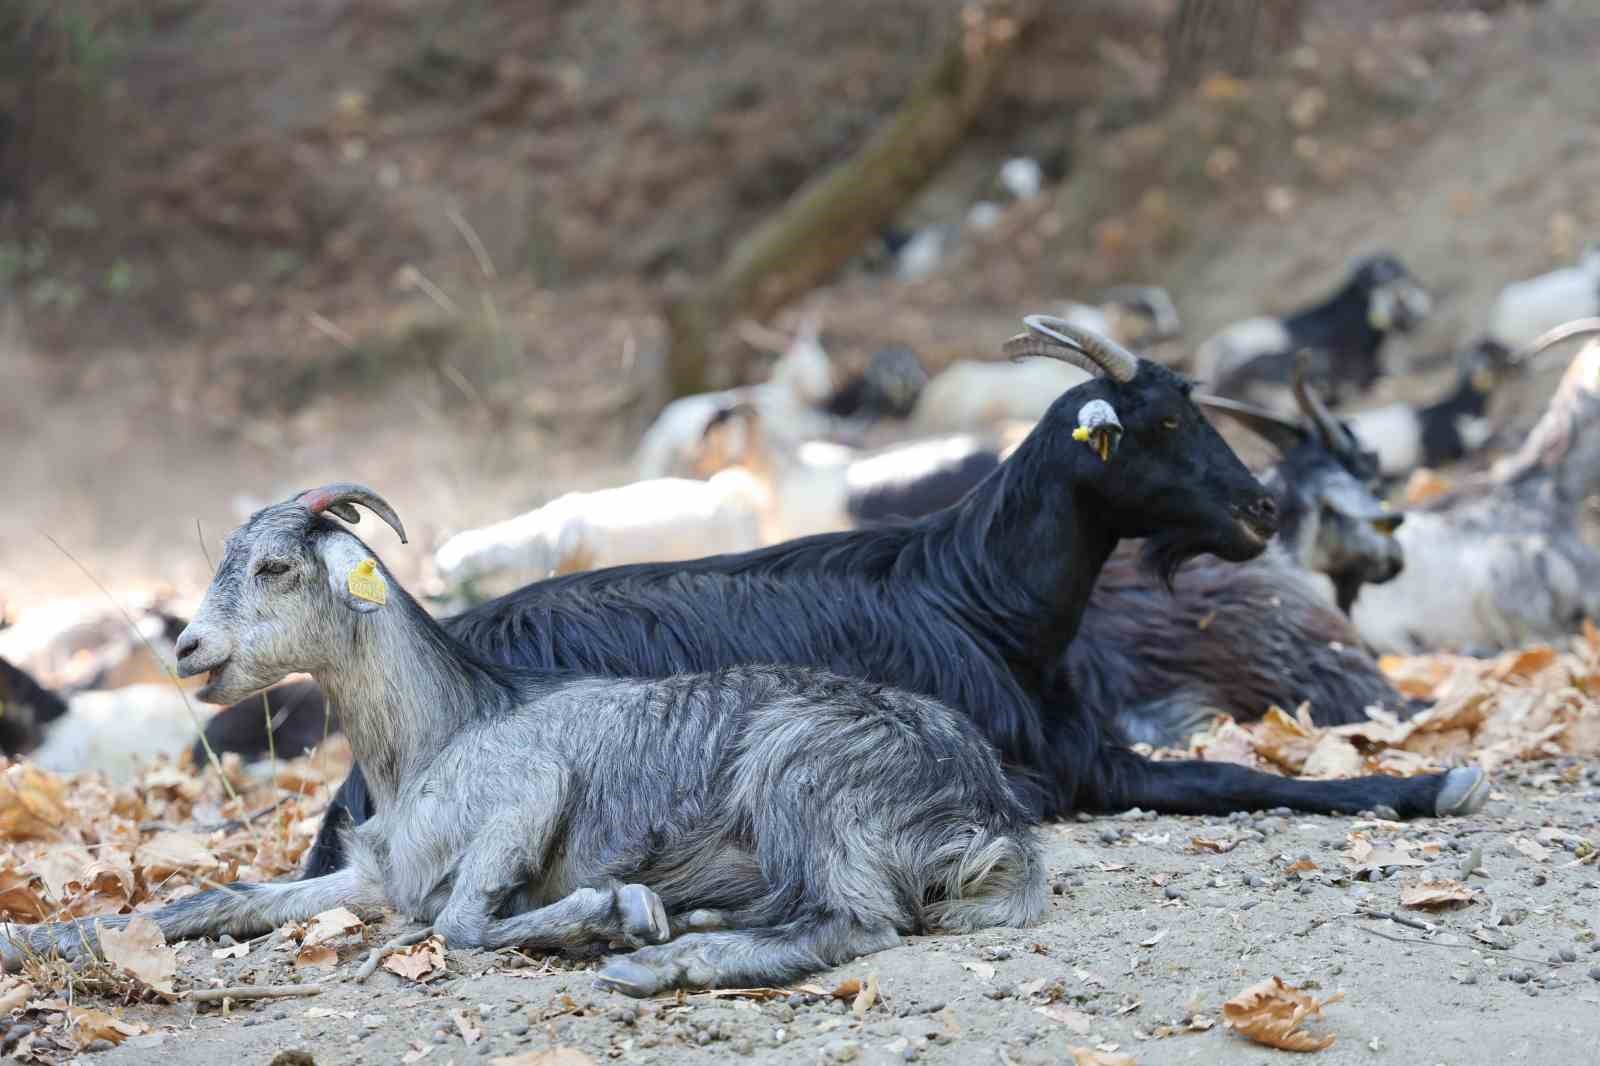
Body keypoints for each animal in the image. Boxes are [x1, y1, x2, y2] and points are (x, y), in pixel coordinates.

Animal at [0, 486, 1043, 992]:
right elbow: (216, 900)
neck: (443, 730)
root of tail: (988, 808)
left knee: (856, 922)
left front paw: (605, 914)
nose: (187, 648)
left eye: (278, 567)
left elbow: (460, 926)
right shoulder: (372, 878)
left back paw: (662, 958)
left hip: (799, 773)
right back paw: (696, 922)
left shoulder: (525, 798)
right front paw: (31, 937)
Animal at [243, 316, 1478, 877]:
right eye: (1164, 422)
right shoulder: (1053, 769)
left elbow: (1235, 770)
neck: (980, 599)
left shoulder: (1088, 747)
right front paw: (1432, 781)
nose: (1262, 509)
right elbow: (1234, 775)